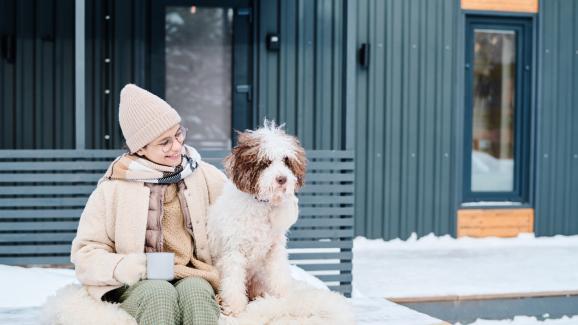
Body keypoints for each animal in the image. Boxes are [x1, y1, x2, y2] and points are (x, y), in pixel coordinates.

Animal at [207, 120, 306, 316]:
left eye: (286, 160)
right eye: (266, 162)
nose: (282, 179)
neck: (261, 206)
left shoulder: (275, 250)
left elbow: (280, 277)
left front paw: (285, 300)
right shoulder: (234, 252)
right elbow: (233, 284)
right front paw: (235, 308)